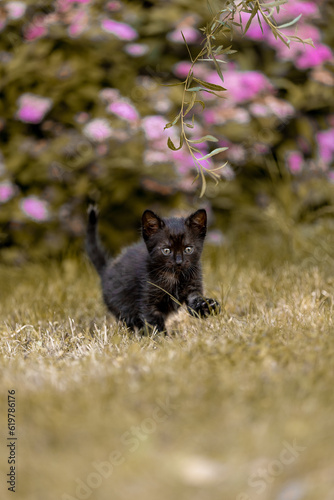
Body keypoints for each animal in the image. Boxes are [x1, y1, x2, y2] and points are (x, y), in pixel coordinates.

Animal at [87, 207, 220, 332]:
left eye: (188, 249)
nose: (179, 262)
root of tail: (106, 269)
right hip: (122, 305)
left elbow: (195, 300)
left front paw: (206, 306)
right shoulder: (148, 300)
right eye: (166, 250)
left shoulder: (193, 285)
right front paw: (161, 338)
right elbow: (153, 322)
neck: (174, 277)